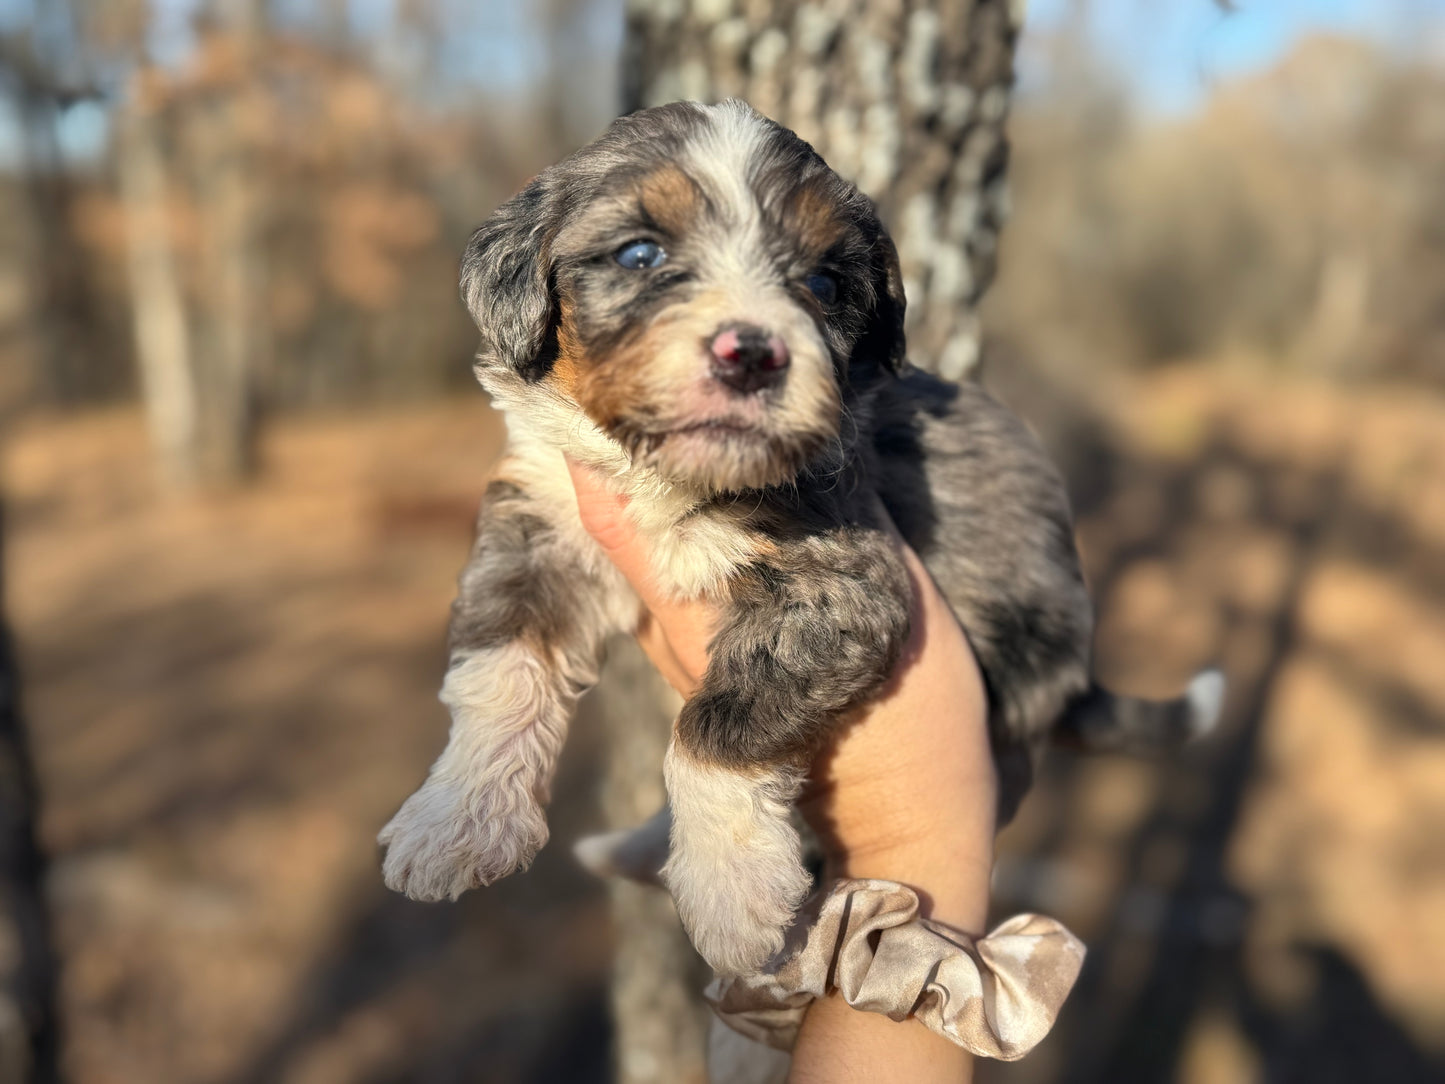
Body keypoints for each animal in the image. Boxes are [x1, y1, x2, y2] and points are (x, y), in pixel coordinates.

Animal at [378, 101, 1225, 982]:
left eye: (823, 283)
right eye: (640, 254)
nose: (750, 354)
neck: (675, 480)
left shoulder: (840, 582)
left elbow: (715, 727)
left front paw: (731, 897)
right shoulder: (539, 522)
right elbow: (499, 663)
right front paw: (454, 821)